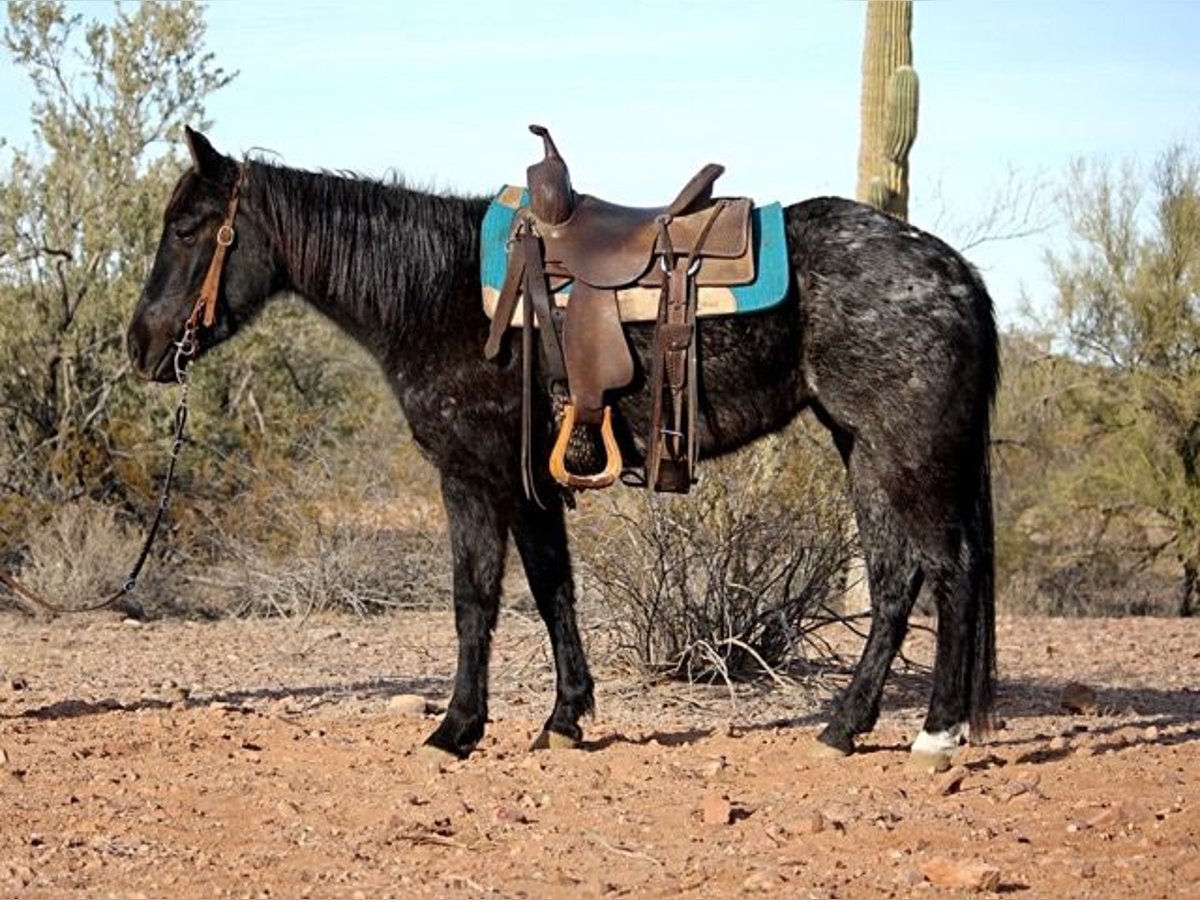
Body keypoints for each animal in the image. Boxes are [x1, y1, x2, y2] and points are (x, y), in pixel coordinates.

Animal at [126, 128, 998, 768]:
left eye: (187, 228)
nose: (141, 347)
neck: (436, 292)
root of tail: (953, 268)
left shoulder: (473, 477)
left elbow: (474, 599)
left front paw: (456, 730)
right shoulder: (531, 486)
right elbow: (553, 592)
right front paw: (565, 718)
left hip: (905, 452)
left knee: (947, 573)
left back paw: (936, 732)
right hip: (864, 448)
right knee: (896, 581)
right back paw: (846, 726)